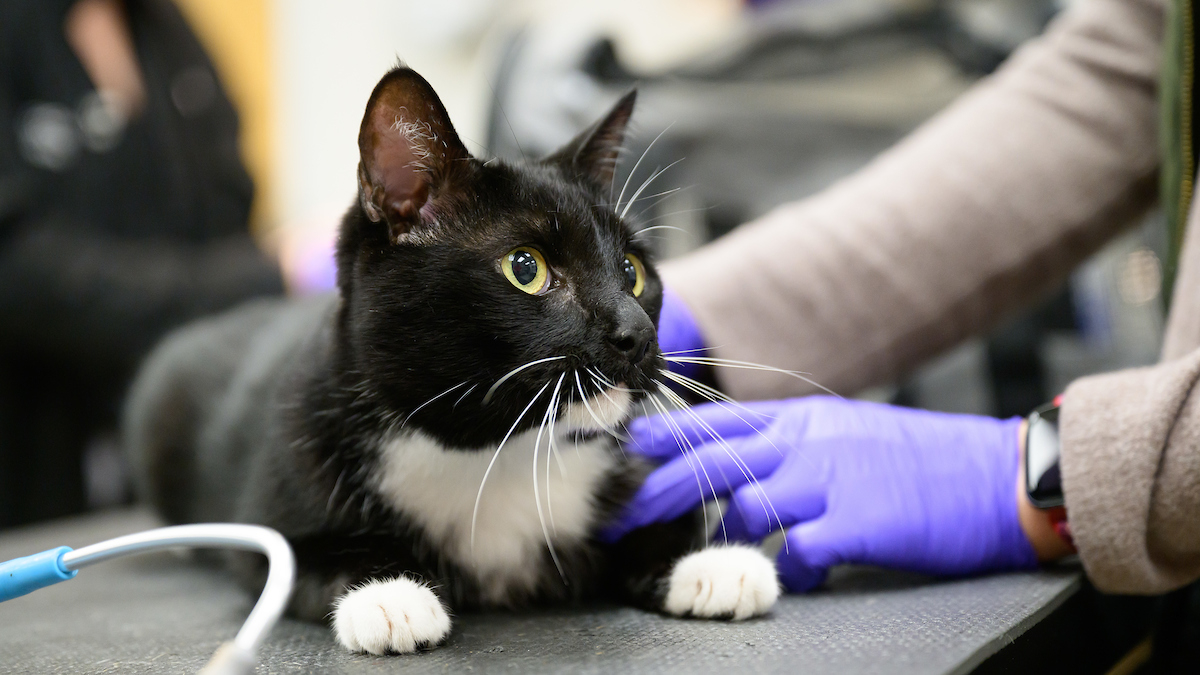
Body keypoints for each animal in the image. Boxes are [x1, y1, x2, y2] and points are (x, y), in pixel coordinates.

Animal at [124, 65, 777, 648]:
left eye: (633, 271)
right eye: (525, 268)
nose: (636, 334)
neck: (493, 450)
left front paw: (710, 565)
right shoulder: (291, 464)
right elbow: (297, 559)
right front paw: (388, 593)